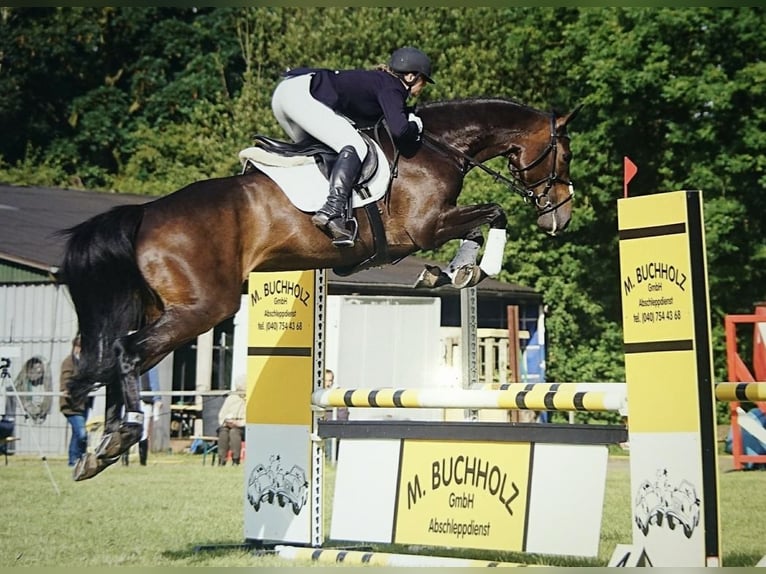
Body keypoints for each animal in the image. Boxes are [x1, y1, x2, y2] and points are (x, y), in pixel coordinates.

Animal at [58, 97, 584, 480]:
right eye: (565, 153)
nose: (559, 218)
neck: (435, 147)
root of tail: (145, 213)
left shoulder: (430, 229)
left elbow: (478, 226)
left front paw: (450, 274)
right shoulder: (424, 228)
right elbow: (495, 212)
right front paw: (470, 270)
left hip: (167, 310)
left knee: (116, 359)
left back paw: (100, 449)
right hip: (203, 309)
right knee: (126, 354)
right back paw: (121, 437)